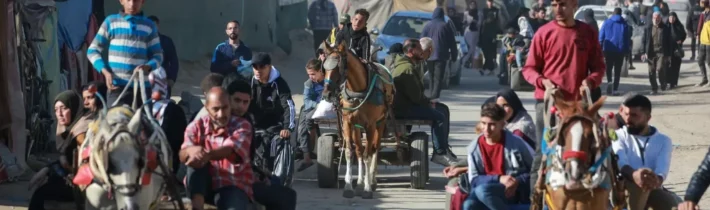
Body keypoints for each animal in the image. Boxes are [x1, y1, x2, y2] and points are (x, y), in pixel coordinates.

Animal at [322, 40, 398, 199]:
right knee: (359, 150)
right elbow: (350, 152)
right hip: (357, 127)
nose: (327, 94)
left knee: (375, 148)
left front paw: (368, 189)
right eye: (324, 67)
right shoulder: (348, 123)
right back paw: (360, 182)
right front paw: (349, 187)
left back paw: (372, 181)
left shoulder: (370, 125)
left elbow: (368, 154)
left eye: (338, 67)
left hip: (381, 122)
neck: (358, 91)